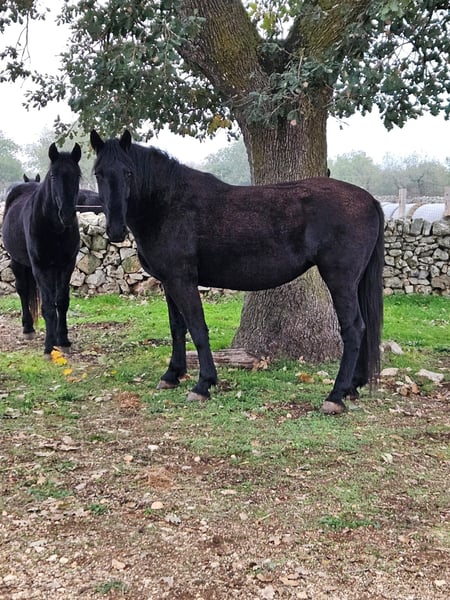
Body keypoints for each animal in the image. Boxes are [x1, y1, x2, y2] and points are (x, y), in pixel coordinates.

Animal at [2, 143, 82, 355]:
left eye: (78, 175)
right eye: (53, 175)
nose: (67, 214)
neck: (53, 228)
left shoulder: (66, 265)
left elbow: (61, 302)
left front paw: (63, 340)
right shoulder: (40, 267)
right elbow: (47, 305)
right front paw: (49, 346)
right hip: (17, 261)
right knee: (22, 290)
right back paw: (28, 329)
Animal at [90, 129, 384, 415]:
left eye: (128, 172)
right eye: (98, 173)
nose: (115, 230)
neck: (167, 204)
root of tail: (369, 199)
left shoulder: (182, 280)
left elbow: (197, 328)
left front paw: (203, 384)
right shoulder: (168, 282)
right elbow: (177, 328)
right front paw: (172, 375)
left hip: (340, 279)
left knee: (354, 329)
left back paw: (335, 396)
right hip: (354, 282)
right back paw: (352, 386)